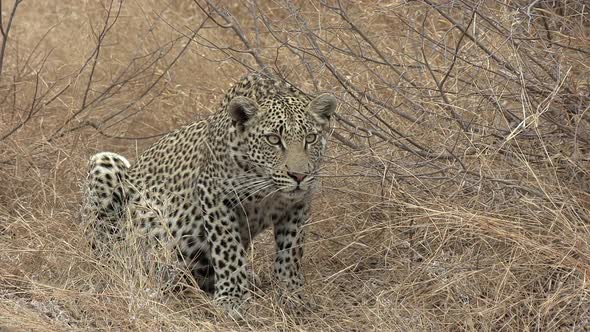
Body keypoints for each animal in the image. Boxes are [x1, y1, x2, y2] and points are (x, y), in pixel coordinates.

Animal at [82, 73, 340, 320]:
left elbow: (291, 252)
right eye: (273, 139)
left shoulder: (297, 205)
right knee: (106, 250)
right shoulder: (216, 196)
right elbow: (228, 250)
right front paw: (232, 300)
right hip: (106, 163)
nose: (299, 175)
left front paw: (291, 295)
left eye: (310, 138)